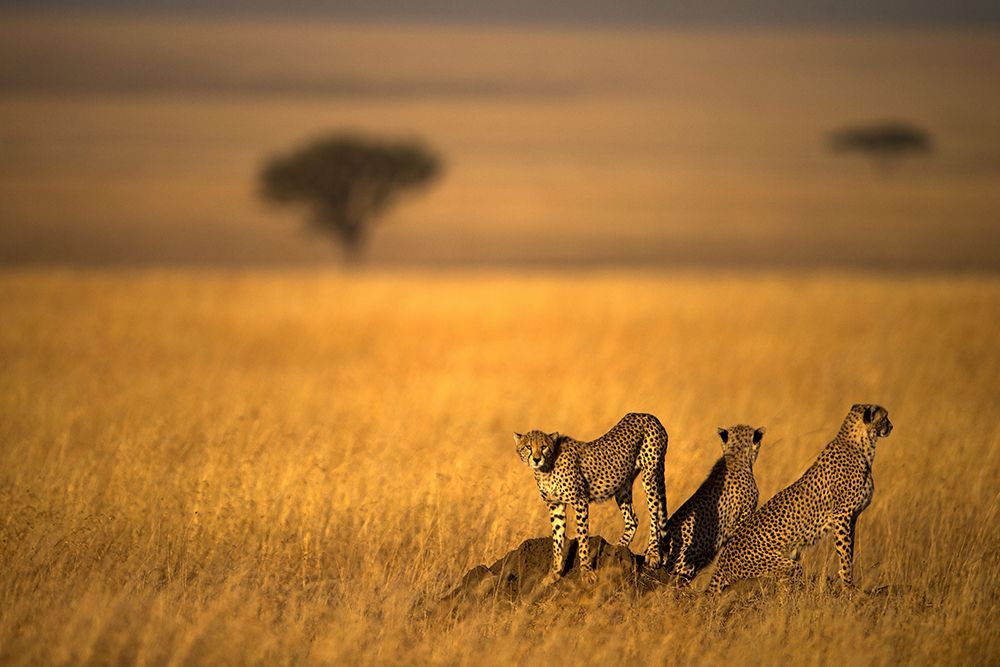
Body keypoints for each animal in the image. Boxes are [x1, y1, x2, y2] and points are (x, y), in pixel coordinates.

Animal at [515, 412, 668, 584]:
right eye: (528, 447)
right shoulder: (555, 505)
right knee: (633, 520)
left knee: (654, 516)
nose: (536, 459)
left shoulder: (580, 502)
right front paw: (555, 573)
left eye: (543, 447)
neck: (546, 468)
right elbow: (557, 540)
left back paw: (653, 553)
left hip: (650, 476)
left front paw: (586, 572)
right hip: (622, 485)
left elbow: (582, 538)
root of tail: (646, 415)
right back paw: (617, 551)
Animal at [707, 404, 892, 593]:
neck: (861, 445)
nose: (891, 427)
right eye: (885, 417)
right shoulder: (842, 516)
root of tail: (722, 561)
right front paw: (849, 586)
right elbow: (845, 555)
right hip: (781, 565)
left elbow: (849, 551)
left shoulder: (852, 518)